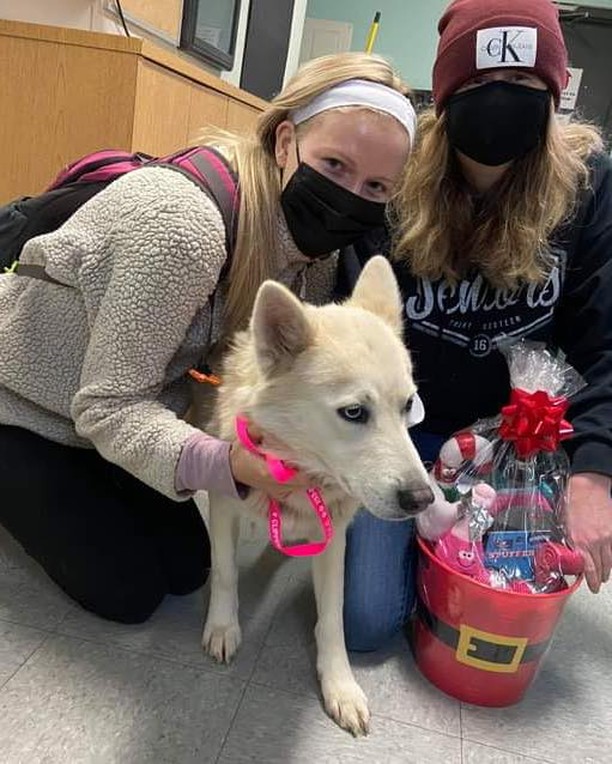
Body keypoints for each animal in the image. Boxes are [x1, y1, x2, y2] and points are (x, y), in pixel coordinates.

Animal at [201, 256, 430, 736]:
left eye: (408, 405)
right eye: (354, 412)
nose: (423, 499)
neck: (304, 470)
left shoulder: (334, 539)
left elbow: (333, 618)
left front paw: (339, 686)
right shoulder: (224, 499)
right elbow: (225, 571)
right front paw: (223, 627)